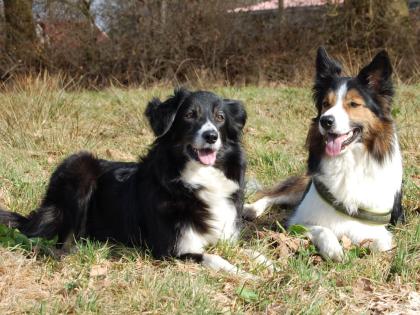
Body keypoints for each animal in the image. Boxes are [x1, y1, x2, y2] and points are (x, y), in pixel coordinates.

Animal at [0, 89, 253, 276]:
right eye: (189, 115)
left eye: (220, 118)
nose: (211, 136)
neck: (194, 179)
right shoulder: (170, 249)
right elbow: (214, 257)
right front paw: (245, 273)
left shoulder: (226, 235)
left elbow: (246, 251)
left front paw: (260, 264)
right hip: (79, 165)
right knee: (61, 240)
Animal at [244, 48, 406, 262]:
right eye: (325, 103)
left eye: (353, 104)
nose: (325, 121)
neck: (348, 162)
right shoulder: (298, 220)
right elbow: (322, 229)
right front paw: (334, 249)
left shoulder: (380, 230)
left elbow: (381, 244)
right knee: (274, 195)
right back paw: (252, 209)